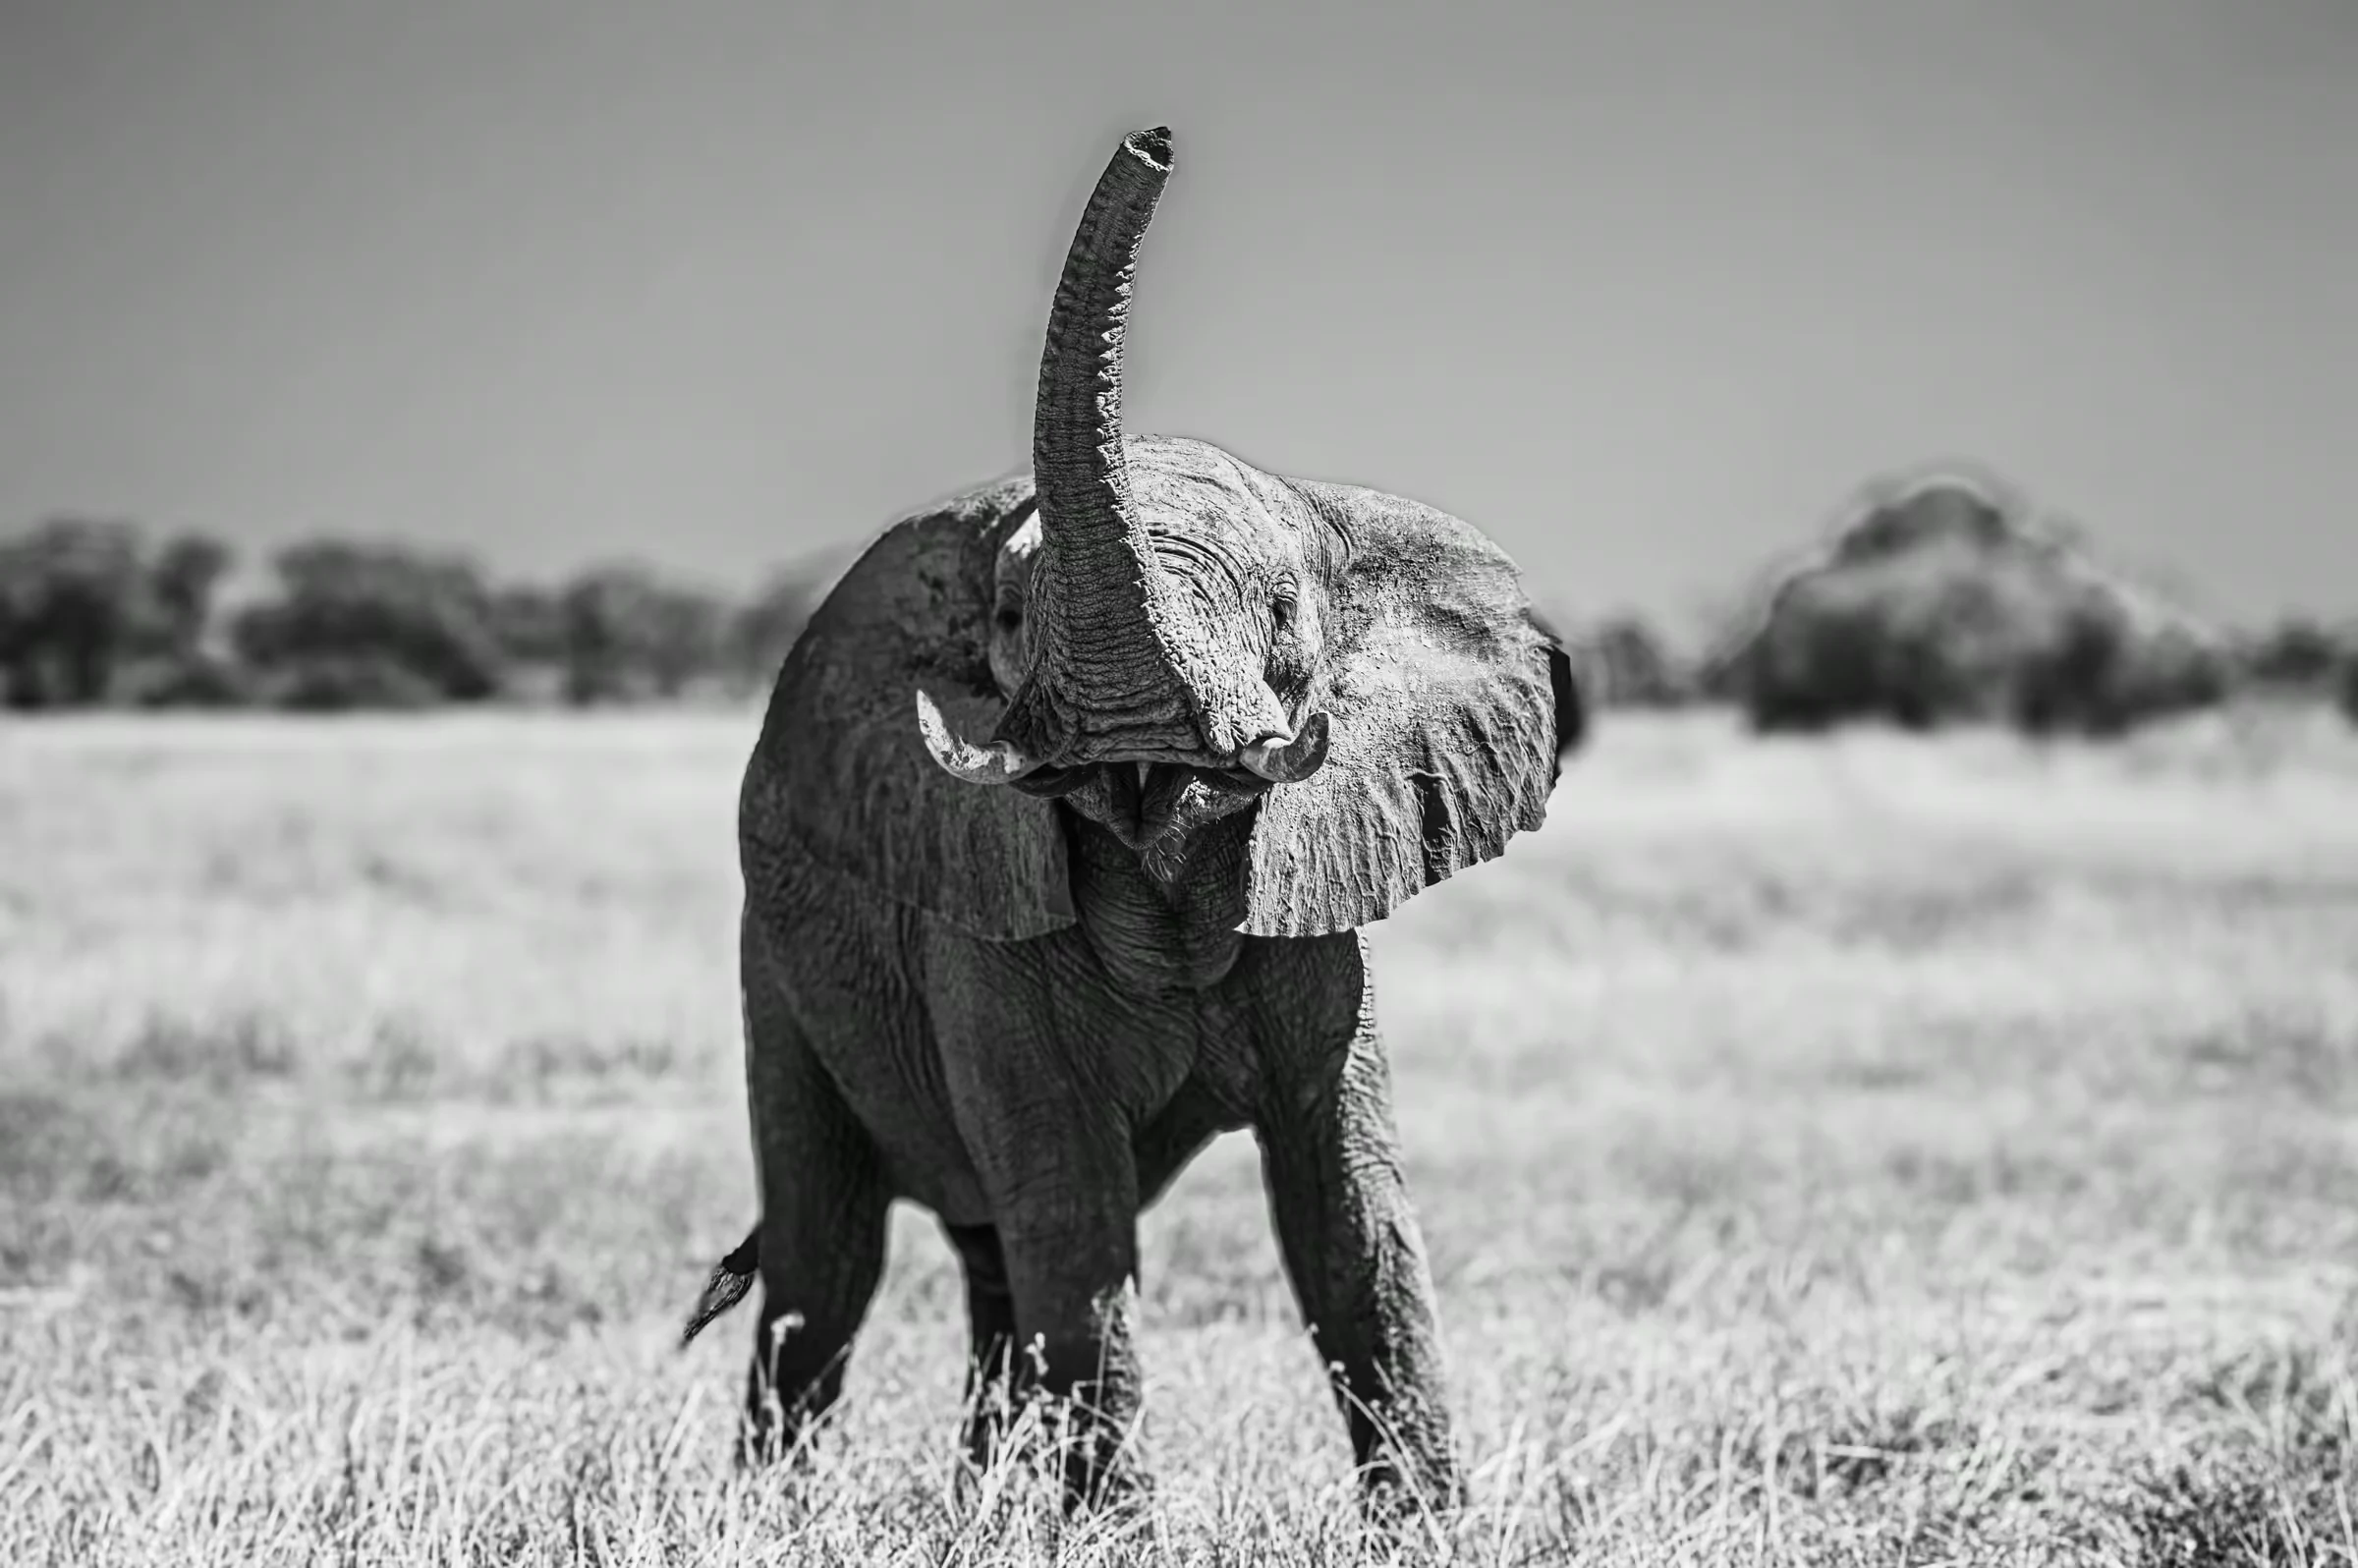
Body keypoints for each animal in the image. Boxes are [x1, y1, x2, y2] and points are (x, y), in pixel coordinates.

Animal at [681, 125, 1584, 1514]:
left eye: (1284, 614)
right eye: (1008, 619)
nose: (1154, 142)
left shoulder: (1314, 900)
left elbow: (1348, 1214)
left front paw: (1429, 1531)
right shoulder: (979, 920)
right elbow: (1075, 1213)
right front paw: (1115, 1530)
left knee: (981, 1266)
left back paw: (985, 1509)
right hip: (775, 966)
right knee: (826, 1262)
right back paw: (781, 1512)